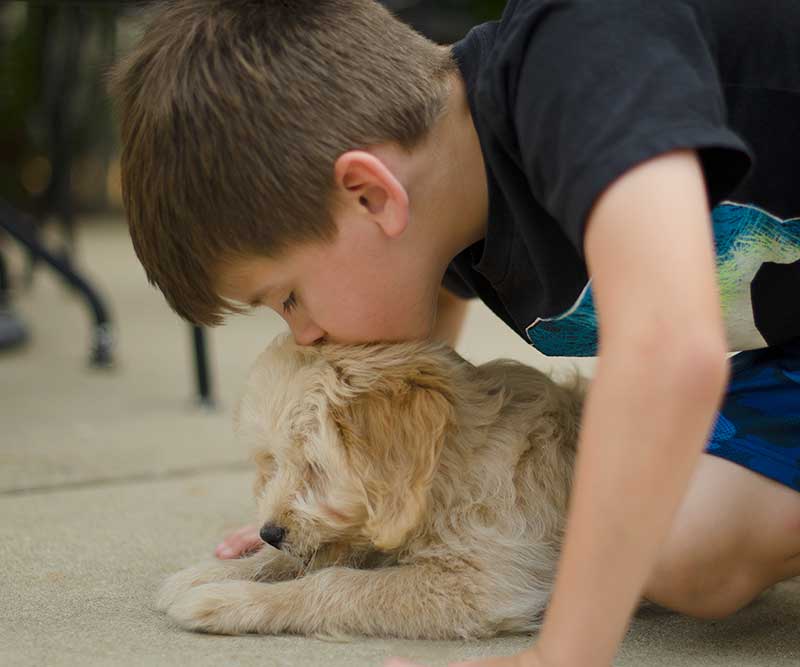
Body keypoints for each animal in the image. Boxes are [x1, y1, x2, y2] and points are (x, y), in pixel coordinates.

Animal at [159, 336, 592, 640]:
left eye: (315, 467)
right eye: (273, 462)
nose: (269, 532)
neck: (453, 467)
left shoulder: (484, 584)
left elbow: (336, 584)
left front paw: (225, 601)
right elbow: (291, 561)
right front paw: (211, 573)